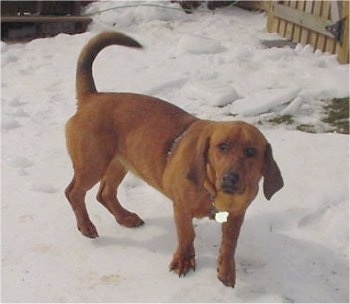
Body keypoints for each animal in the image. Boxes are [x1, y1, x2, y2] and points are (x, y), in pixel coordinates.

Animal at [65, 31, 284, 288]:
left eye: (251, 152)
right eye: (222, 147)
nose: (231, 178)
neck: (214, 193)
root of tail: (92, 97)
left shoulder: (236, 215)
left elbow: (230, 244)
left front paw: (227, 271)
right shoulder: (181, 209)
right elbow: (187, 235)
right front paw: (184, 261)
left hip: (120, 162)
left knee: (105, 193)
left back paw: (125, 217)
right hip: (93, 163)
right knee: (74, 192)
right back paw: (86, 226)